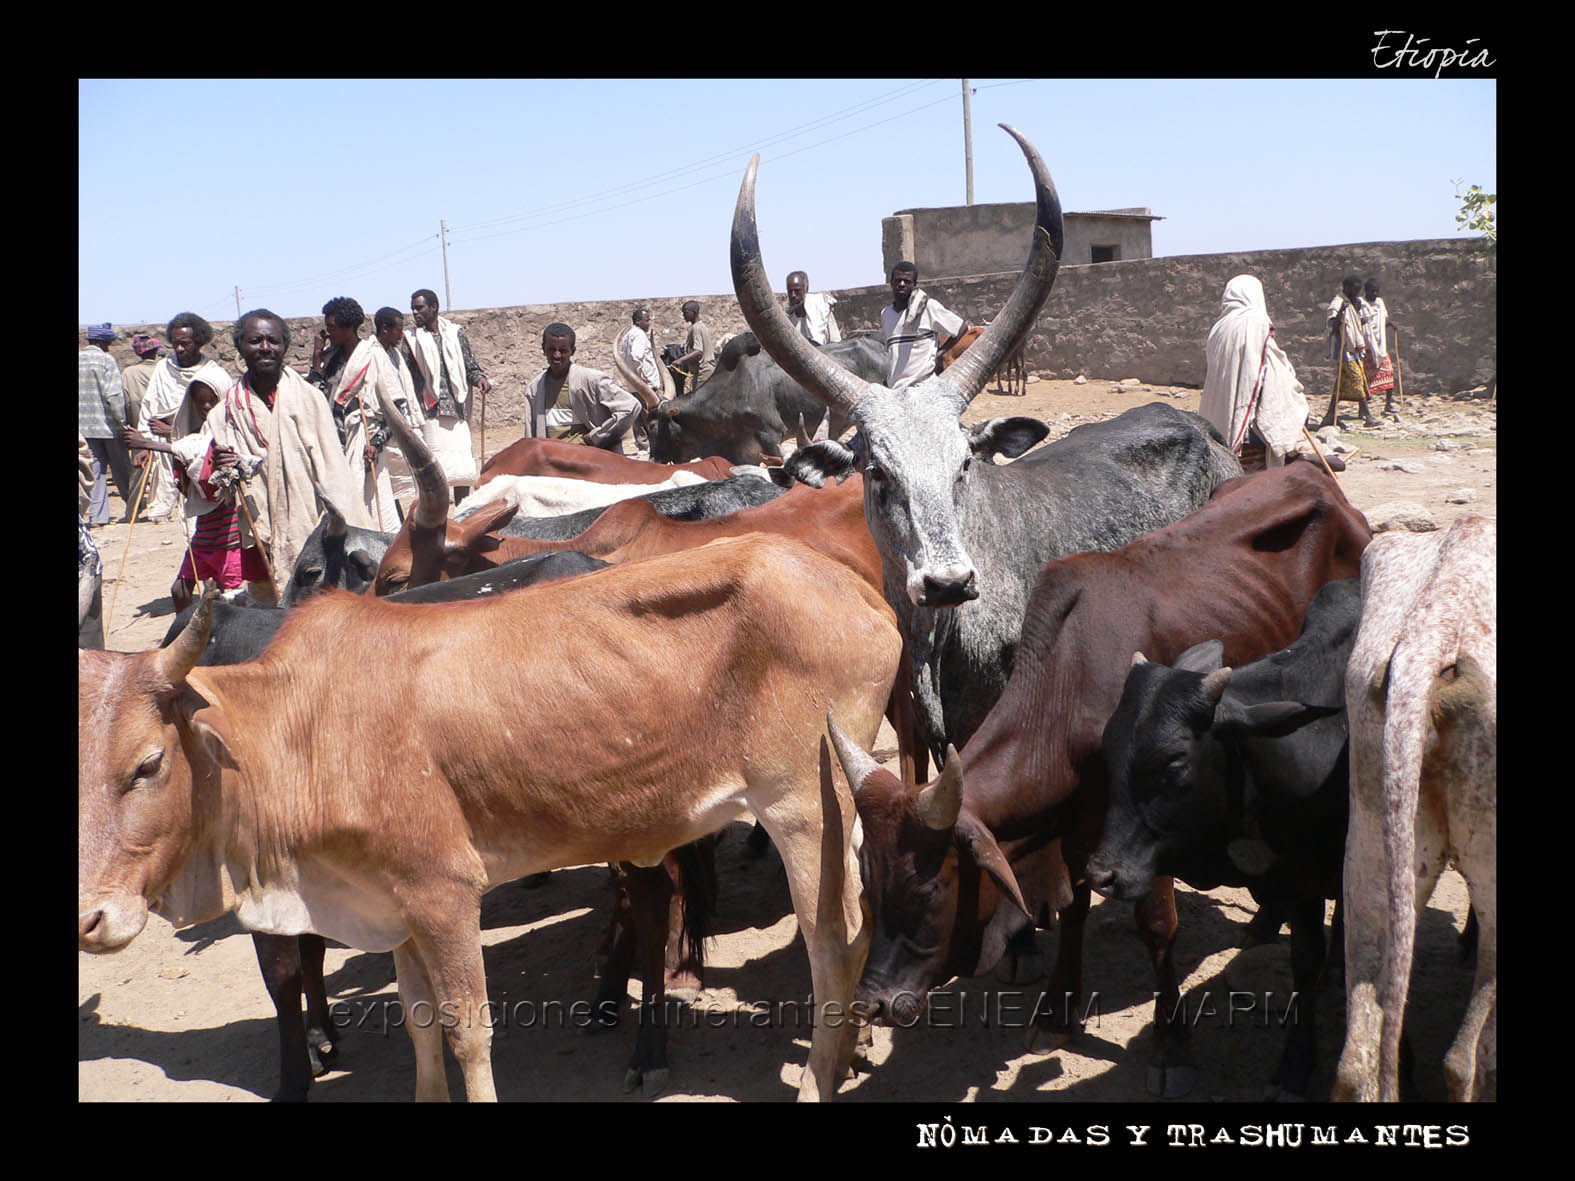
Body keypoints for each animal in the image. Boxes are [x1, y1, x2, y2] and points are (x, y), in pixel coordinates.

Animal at [79, 532, 907, 1108]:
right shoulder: (391, 902)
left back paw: (816, 1077)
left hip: (804, 807)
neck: (303, 725)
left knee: (833, 946)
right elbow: (418, 1020)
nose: (92, 919)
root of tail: (860, 590)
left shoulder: (444, 891)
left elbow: (466, 1031)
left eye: (149, 762)